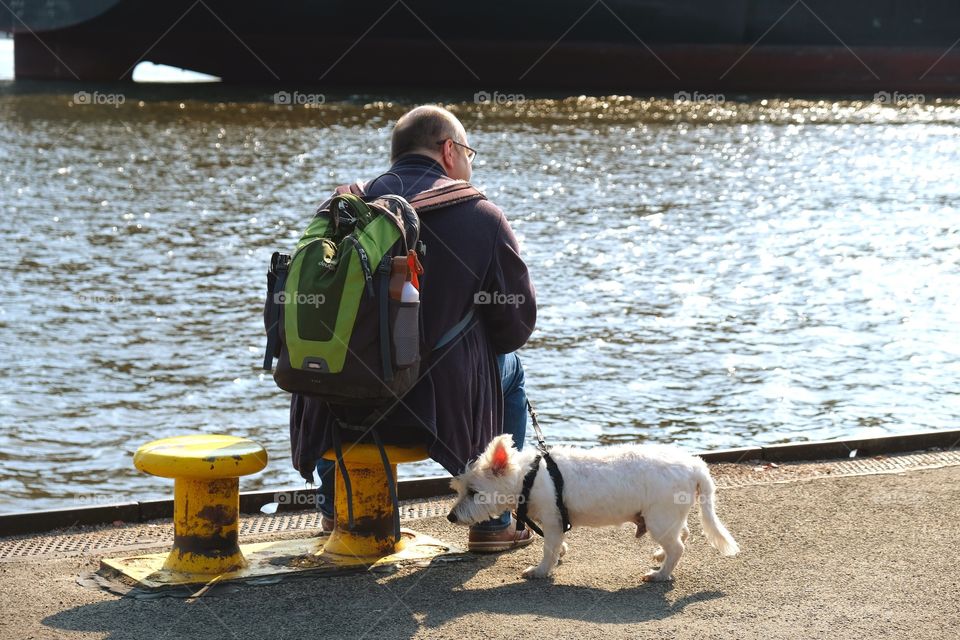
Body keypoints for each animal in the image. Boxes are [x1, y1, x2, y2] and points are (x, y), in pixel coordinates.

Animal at [446, 436, 740, 580]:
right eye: (460, 489)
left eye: (473, 492)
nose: (450, 516)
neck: (529, 477)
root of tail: (696, 466)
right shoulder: (554, 523)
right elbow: (555, 544)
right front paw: (560, 554)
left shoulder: (553, 519)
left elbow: (548, 548)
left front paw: (540, 571)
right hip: (666, 514)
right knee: (683, 532)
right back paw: (660, 556)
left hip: (660, 517)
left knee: (678, 547)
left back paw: (661, 574)